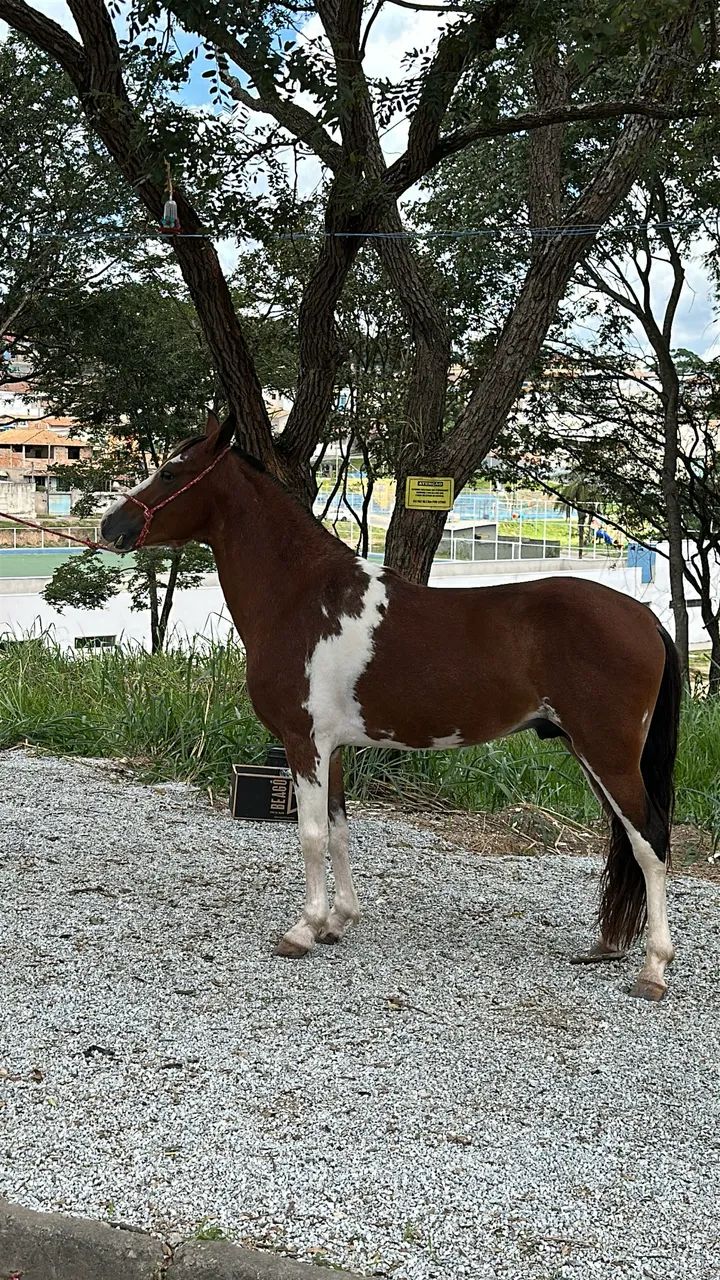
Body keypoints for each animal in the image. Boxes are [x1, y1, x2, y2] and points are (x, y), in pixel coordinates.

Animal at [101, 411, 682, 1001]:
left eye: (171, 473)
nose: (110, 527)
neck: (300, 596)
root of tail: (644, 617)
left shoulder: (303, 743)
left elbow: (311, 835)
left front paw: (303, 928)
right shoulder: (331, 748)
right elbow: (338, 830)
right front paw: (338, 921)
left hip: (607, 753)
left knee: (650, 840)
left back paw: (653, 968)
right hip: (593, 753)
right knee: (628, 839)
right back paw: (608, 946)